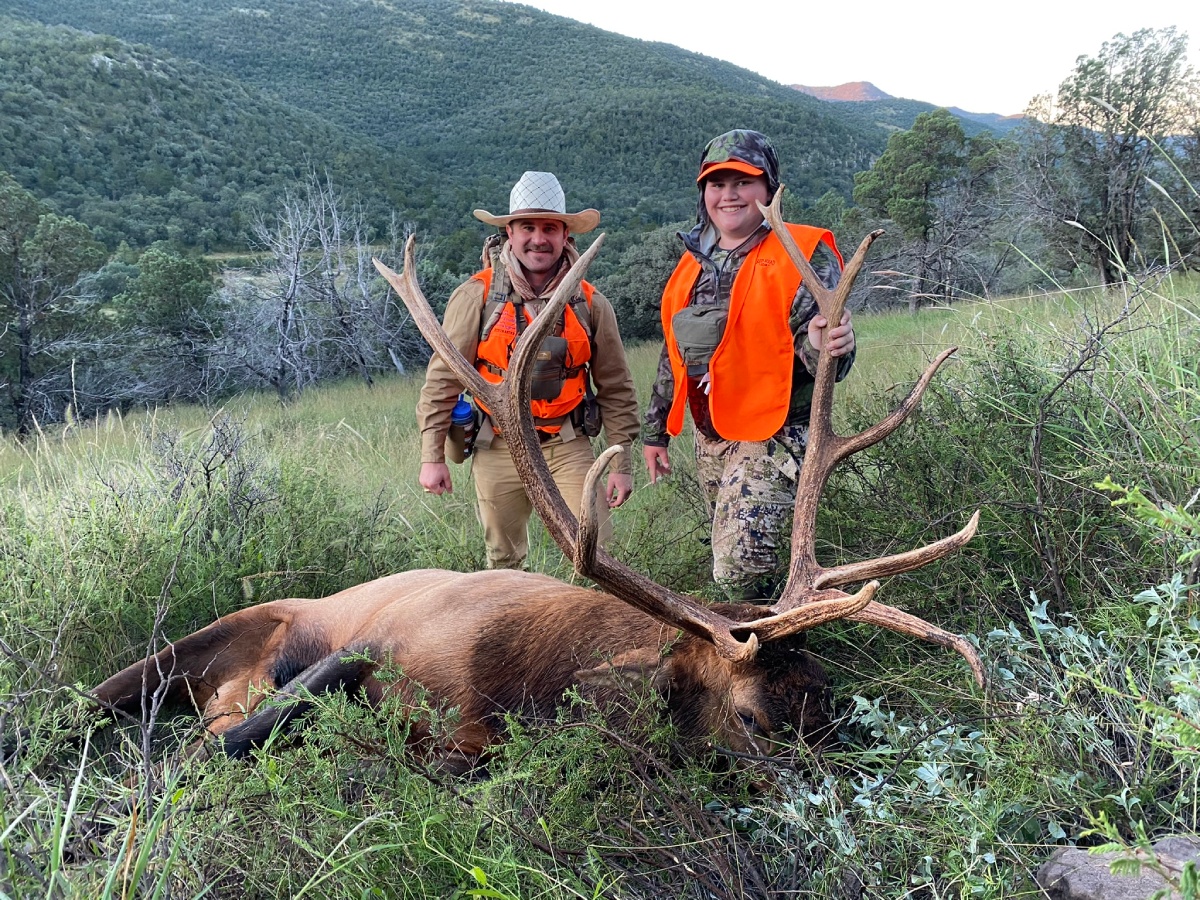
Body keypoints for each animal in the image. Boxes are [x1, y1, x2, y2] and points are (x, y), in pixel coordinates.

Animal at [92, 189, 984, 771]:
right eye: (754, 719)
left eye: (830, 703)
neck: (527, 685)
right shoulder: (377, 640)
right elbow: (237, 741)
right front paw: (171, 778)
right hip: (198, 642)